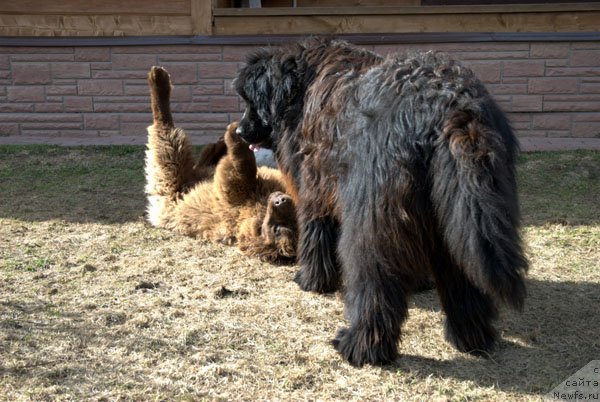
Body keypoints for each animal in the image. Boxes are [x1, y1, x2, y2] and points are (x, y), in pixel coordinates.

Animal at [144, 66, 298, 260]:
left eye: (277, 229)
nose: (281, 200)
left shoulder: (237, 205)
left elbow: (236, 175)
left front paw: (234, 136)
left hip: (171, 183)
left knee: (168, 143)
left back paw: (158, 81)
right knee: (199, 163)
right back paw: (215, 147)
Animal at [234, 38, 528, 368]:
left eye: (250, 99)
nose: (240, 131)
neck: (298, 88)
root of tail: (449, 104)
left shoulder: (313, 187)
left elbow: (316, 235)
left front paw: (311, 281)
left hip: (374, 217)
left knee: (374, 281)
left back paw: (360, 346)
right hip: (461, 214)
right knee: (463, 275)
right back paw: (471, 338)